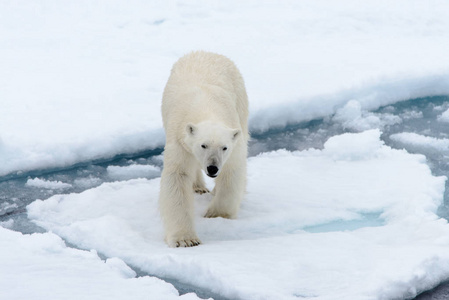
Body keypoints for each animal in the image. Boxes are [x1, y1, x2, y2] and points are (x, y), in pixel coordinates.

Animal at [158, 51, 248, 247]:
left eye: (224, 147)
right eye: (203, 145)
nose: (212, 168)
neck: (206, 107)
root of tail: (208, 52)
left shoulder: (233, 138)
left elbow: (232, 170)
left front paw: (217, 214)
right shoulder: (180, 139)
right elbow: (178, 176)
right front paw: (186, 240)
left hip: (241, 101)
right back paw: (198, 187)